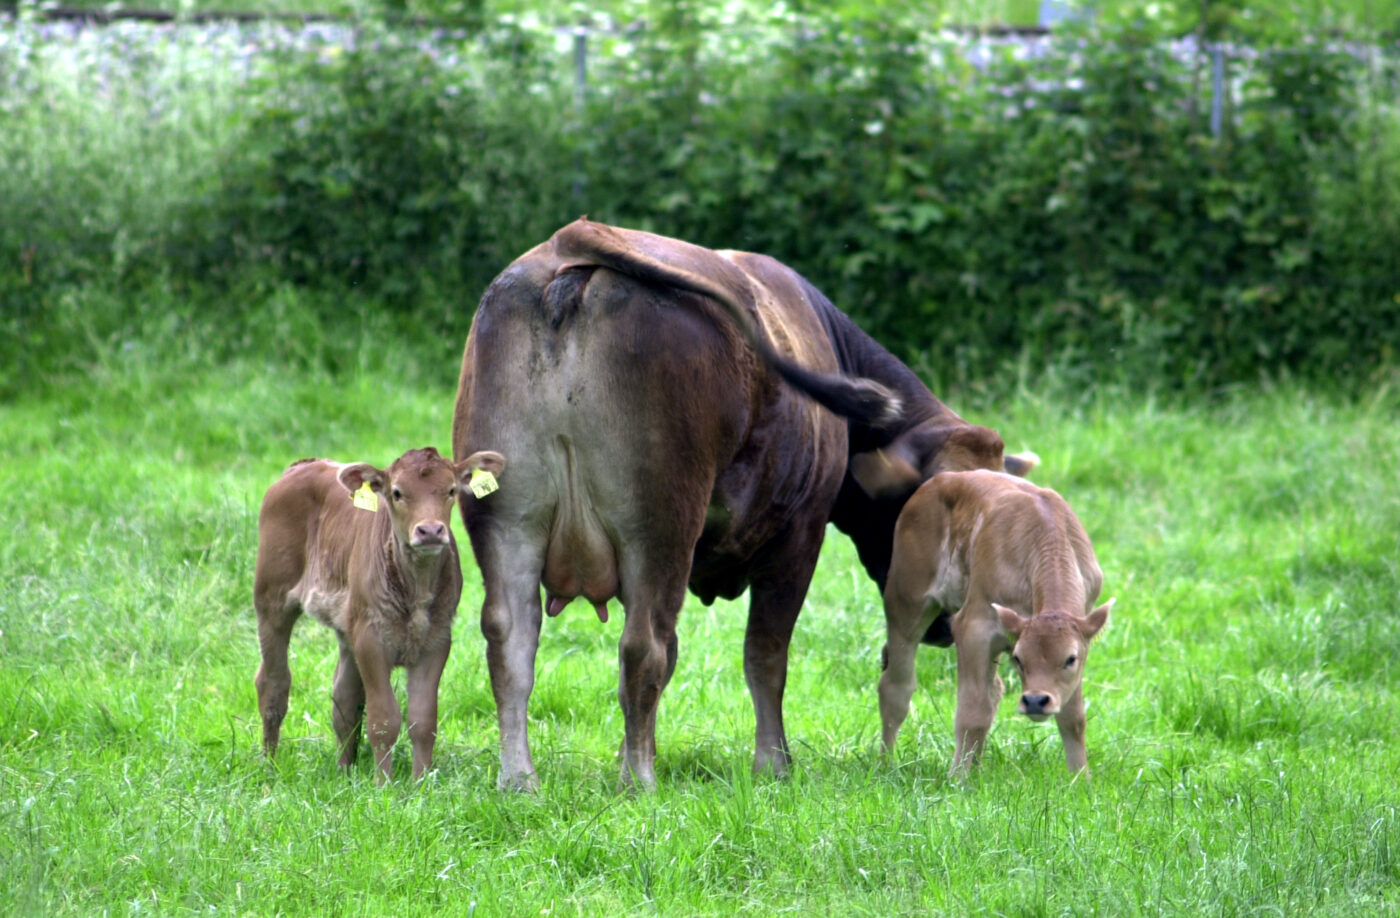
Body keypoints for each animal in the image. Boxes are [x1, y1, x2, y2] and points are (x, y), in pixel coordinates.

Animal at [252, 445, 504, 783]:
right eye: (397, 493)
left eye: (451, 490)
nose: (430, 530)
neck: (416, 589)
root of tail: (302, 466)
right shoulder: (370, 637)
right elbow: (384, 718)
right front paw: (383, 784)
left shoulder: (437, 640)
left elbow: (423, 719)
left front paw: (420, 783)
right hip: (271, 598)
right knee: (273, 682)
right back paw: (269, 765)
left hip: (347, 623)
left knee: (344, 698)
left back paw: (344, 772)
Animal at [453, 218, 1036, 794]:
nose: (946, 626)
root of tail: (570, 243)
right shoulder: (798, 537)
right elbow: (766, 656)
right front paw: (774, 763)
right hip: (659, 530)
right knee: (642, 646)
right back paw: (639, 778)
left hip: (510, 524)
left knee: (511, 643)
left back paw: (520, 778)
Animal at [879, 470, 1108, 772]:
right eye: (1019, 659)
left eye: (1070, 659)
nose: (1036, 701)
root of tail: (940, 480)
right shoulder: (973, 629)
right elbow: (972, 713)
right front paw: (958, 778)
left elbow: (1073, 718)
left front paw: (1080, 777)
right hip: (905, 602)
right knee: (896, 687)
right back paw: (885, 764)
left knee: (994, 691)